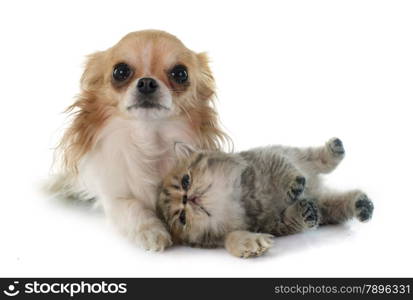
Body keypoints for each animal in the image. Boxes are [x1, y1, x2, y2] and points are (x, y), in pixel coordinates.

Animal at [50, 29, 229, 251]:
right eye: (120, 71)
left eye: (180, 73)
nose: (146, 82)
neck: (149, 136)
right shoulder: (114, 194)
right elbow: (131, 205)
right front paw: (151, 231)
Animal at [155, 138, 374, 258]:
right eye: (182, 217)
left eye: (186, 181)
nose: (187, 199)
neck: (238, 199)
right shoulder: (275, 224)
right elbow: (292, 217)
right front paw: (306, 211)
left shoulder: (266, 158)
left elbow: (283, 170)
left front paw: (293, 186)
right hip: (328, 206)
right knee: (340, 203)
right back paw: (362, 205)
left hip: (301, 156)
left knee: (318, 158)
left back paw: (333, 150)